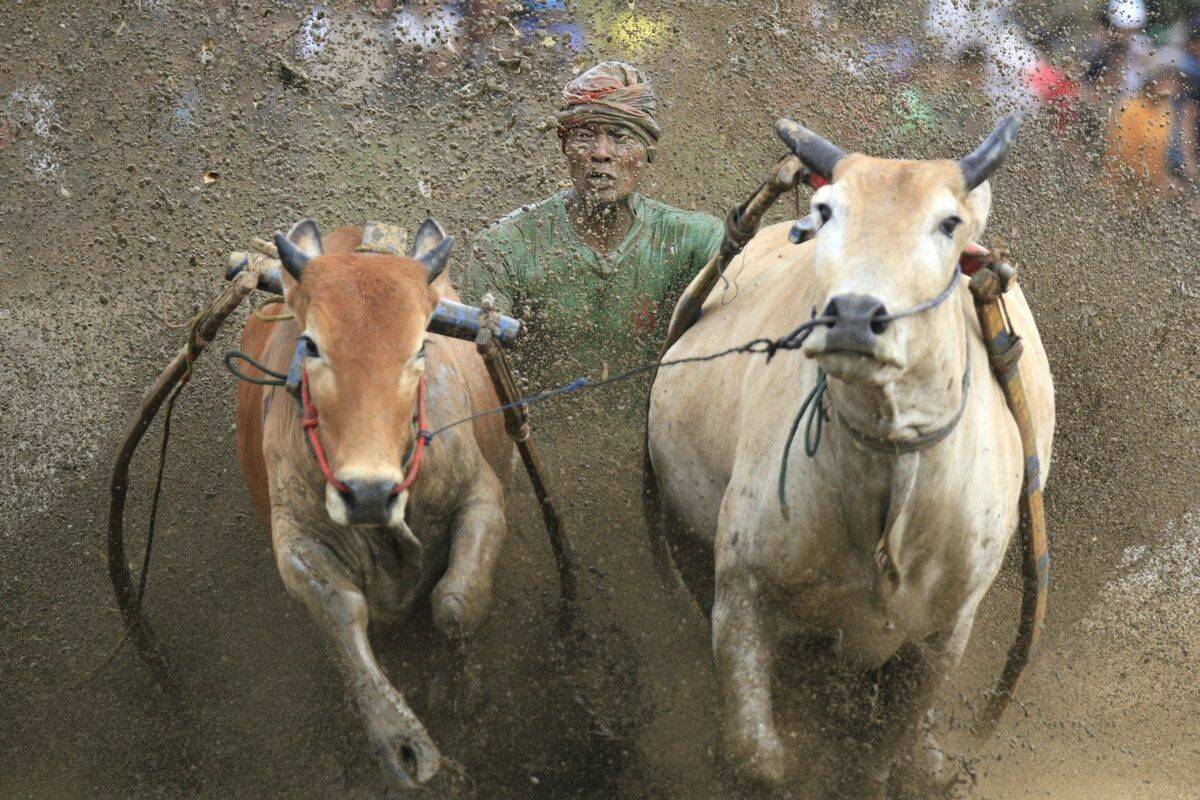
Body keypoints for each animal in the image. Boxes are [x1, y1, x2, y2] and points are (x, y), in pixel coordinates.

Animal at [236, 217, 513, 786]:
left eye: (420, 348)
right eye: (311, 345)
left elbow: (457, 601)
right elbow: (340, 609)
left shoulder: (482, 492)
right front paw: (399, 737)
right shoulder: (296, 537)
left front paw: (461, 688)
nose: (367, 492)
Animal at [652, 115, 1056, 796]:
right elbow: (757, 758)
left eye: (948, 222)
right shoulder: (740, 594)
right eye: (826, 210)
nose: (855, 316)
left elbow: (875, 760)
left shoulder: (941, 639)